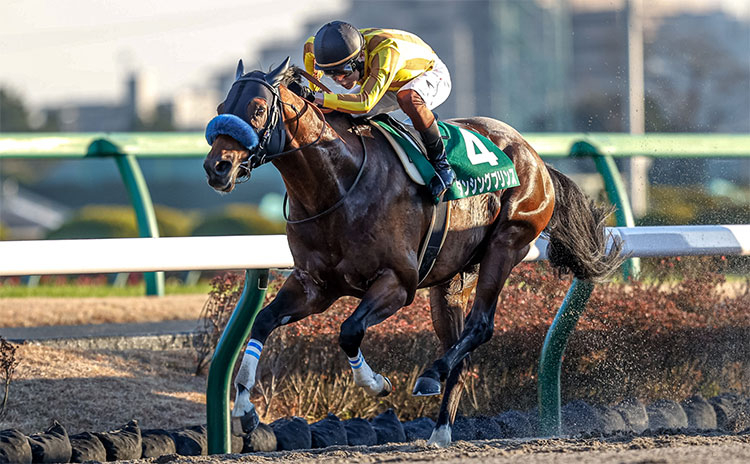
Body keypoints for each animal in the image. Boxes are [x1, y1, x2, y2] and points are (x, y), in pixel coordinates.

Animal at [201, 58, 624, 446]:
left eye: (257, 108)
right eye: (222, 104)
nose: (216, 168)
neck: (337, 184)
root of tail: (535, 158)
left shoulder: (397, 283)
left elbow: (349, 330)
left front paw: (376, 383)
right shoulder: (314, 286)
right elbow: (262, 322)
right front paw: (244, 409)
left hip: (506, 243)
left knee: (480, 326)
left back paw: (429, 376)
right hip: (451, 281)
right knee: (459, 347)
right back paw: (440, 431)